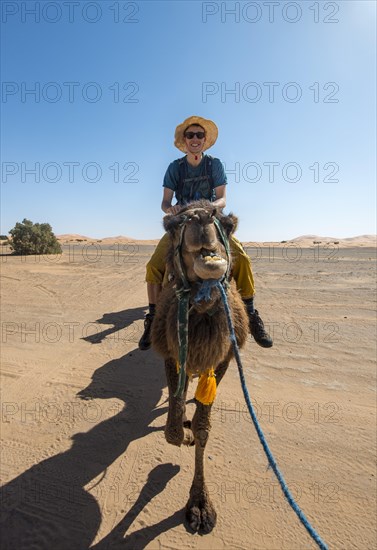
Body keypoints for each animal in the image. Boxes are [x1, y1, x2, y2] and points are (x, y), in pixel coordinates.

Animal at [151, 202, 248, 536]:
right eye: (171, 226)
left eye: (229, 225)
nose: (201, 219)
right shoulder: (169, 350)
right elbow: (172, 428)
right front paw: (184, 434)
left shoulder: (224, 357)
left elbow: (204, 427)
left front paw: (200, 506)